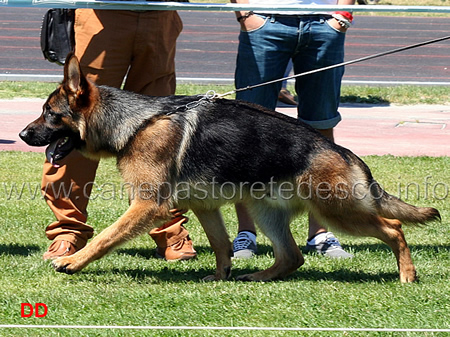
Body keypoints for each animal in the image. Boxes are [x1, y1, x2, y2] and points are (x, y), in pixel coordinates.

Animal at [19, 54, 438, 280]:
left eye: (50, 114)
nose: (22, 134)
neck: (135, 124)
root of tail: (342, 151)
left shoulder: (148, 206)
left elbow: (106, 236)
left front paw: (73, 261)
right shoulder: (205, 206)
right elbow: (221, 244)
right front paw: (222, 276)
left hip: (338, 211)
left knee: (394, 228)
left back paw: (407, 274)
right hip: (264, 211)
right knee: (292, 256)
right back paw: (257, 276)